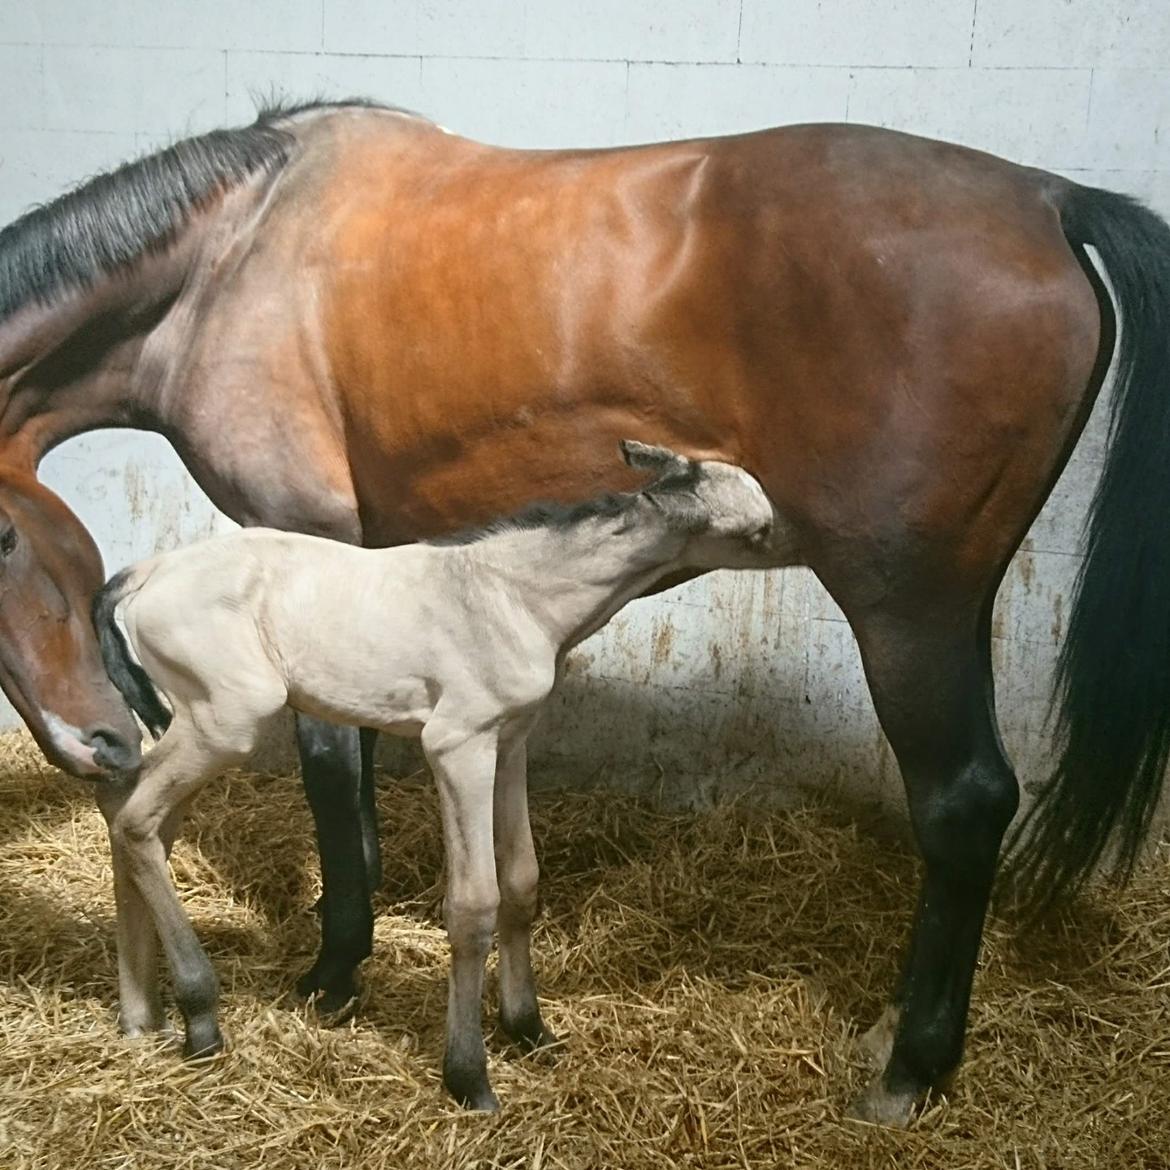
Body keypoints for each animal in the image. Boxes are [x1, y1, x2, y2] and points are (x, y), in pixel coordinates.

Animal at [93, 439, 786, 1104]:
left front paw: (529, 1028)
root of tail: (144, 571)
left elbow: (522, 880)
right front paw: (470, 1076)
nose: (795, 550)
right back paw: (200, 1017)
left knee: (130, 809)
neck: (516, 598)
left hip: (187, 721)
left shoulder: (511, 739)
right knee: (136, 821)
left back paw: (142, 1016)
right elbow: (474, 903)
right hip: (226, 721)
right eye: (756, 533)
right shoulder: (458, 745)